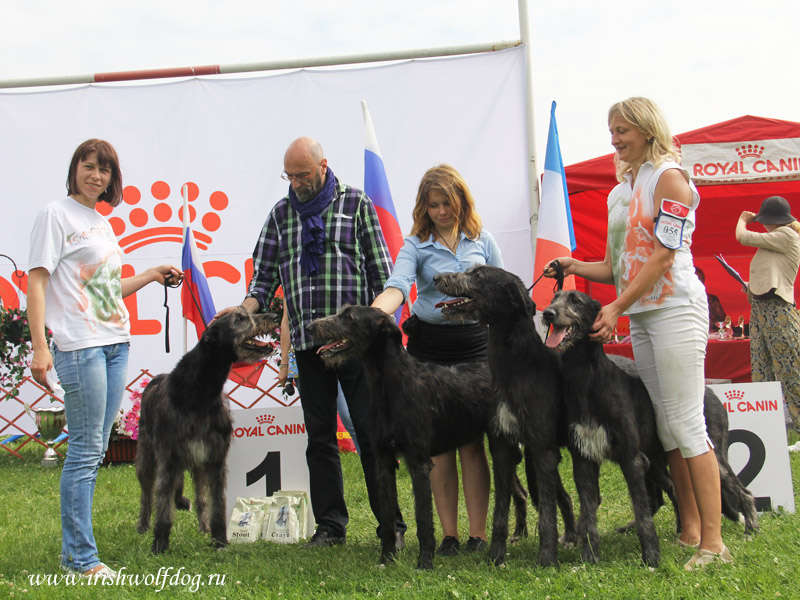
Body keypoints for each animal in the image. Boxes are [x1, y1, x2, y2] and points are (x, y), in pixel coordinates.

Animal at [134, 310, 278, 552]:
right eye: (239, 318)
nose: (275, 316)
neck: (200, 393)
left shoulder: (215, 458)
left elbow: (217, 502)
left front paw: (219, 540)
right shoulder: (169, 459)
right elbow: (163, 503)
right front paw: (160, 543)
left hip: (197, 465)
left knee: (201, 499)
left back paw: (204, 528)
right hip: (146, 456)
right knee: (146, 494)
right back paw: (143, 526)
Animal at [304, 308, 528, 568]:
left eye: (349, 317)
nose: (309, 327)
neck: (389, 385)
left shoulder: (418, 461)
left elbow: (423, 518)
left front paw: (425, 562)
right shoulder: (383, 461)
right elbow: (388, 516)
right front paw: (386, 558)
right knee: (517, 490)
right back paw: (519, 533)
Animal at [434, 268, 580, 568]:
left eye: (477, 275)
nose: (436, 278)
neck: (516, 365)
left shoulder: (543, 447)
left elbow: (547, 514)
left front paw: (547, 558)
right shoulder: (501, 447)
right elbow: (500, 508)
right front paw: (496, 555)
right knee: (559, 496)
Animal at [540, 292, 760, 568]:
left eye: (575, 301)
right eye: (554, 298)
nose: (547, 313)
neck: (586, 379)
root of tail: (712, 394)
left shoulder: (631, 458)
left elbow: (642, 511)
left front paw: (651, 558)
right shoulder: (584, 459)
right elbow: (589, 511)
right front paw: (590, 557)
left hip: (711, 455)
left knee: (744, 491)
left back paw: (750, 529)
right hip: (654, 461)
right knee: (672, 491)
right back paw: (678, 531)